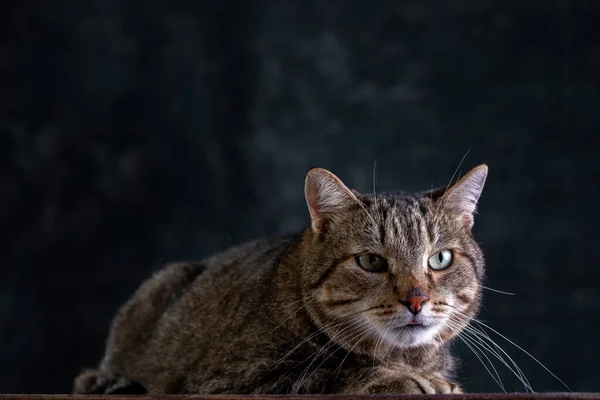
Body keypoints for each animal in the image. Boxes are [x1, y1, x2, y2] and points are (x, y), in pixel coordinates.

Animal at [74, 162, 488, 394]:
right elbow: (331, 375)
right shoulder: (225, 382)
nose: (416, 299)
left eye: (439, 258)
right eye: (371, 261)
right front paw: (404, 380)